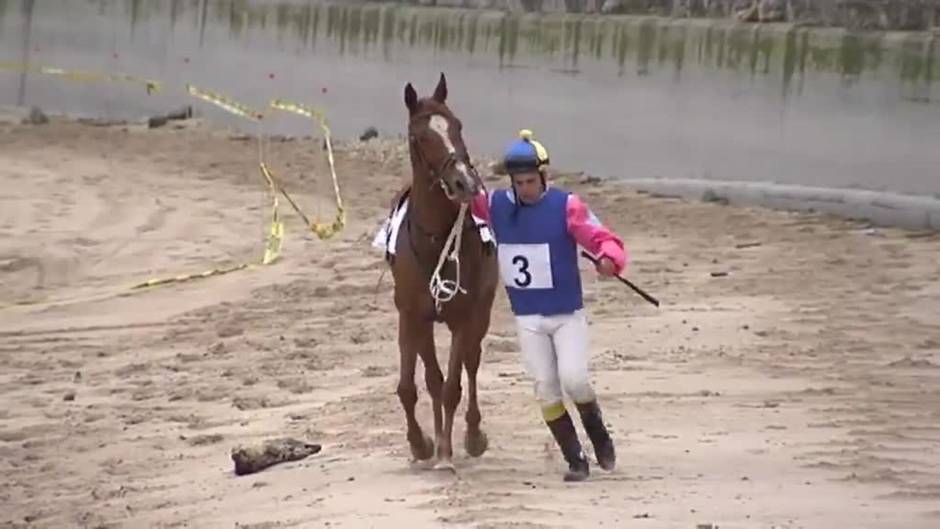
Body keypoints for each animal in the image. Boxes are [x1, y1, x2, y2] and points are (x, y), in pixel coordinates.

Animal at [384, 71, 500, 470]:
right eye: (420, 136)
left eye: (457, 125)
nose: (465, 182)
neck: (435, 238)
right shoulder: (411, 315)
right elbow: (412, 386)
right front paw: (422, 444)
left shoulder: (464, 316)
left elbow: (452, 385)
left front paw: (448, 451)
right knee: (432, 376)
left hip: (480, 312)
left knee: (471, 363)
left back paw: (472, 435)